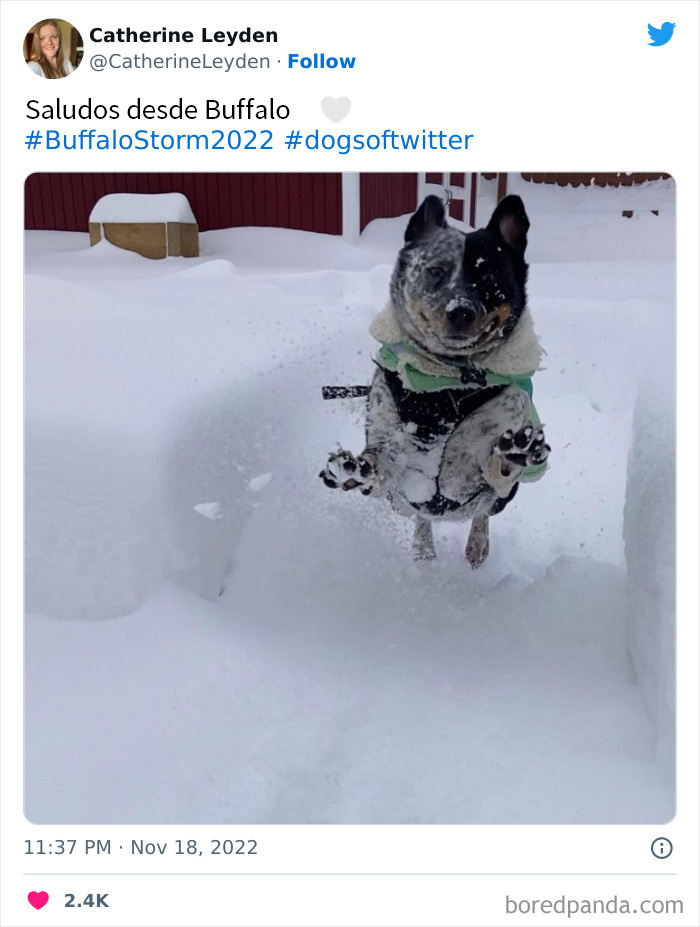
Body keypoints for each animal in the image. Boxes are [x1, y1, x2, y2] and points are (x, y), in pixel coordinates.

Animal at [320, 196, 548, 564]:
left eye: (489, 276)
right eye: (436, 271)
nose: (461, 311)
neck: (447, 386)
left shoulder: (499, 454)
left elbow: (490, 468)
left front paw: (510, 455)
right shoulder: (388, 432)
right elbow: (382, 464)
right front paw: (357, 469)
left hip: (501, 499)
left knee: (483, 512)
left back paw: (476, 544)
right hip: (399, 504)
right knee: (420, 515)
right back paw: (423, 547)